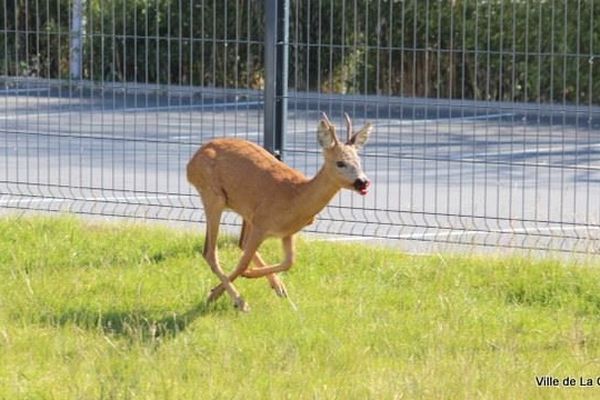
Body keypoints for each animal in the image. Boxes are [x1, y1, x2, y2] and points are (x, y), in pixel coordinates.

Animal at [188, 112, 372, 312]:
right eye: (340, 163)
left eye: (359, 161)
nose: (363, 182)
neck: (295, 198)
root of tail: (190, 164)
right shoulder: (261, 223)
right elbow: (243, 263)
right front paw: (221, 294)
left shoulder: (287, 232)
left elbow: (289, 262)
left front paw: (255, 279)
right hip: (213, 196)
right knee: (210, 252)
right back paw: (239, 300)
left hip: (245, 210)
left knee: (240, 243)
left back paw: (277, 287)